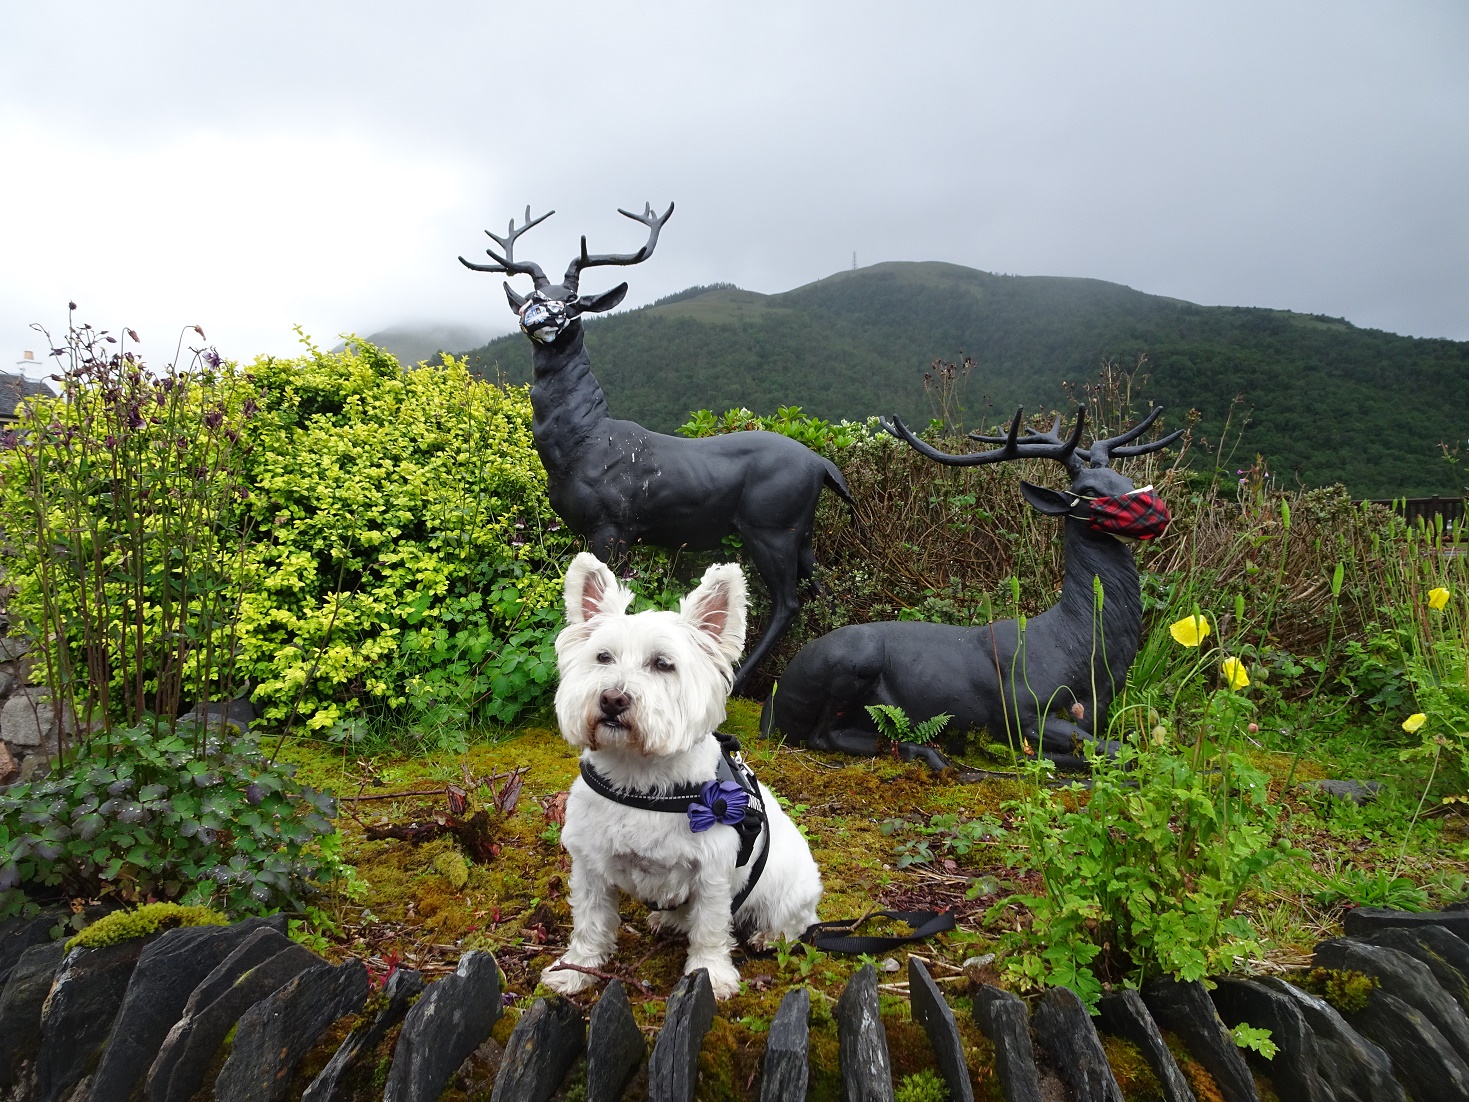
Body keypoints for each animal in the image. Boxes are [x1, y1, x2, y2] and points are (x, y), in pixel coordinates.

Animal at [540, 552, 822, 999]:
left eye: (662, 664)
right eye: (603, 657)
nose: (612, 699)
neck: (639, 777)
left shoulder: (714, 874)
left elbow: (709, 928)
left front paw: (711, 975)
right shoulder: (590, 865)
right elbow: (589, 920)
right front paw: (576, 970)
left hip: (788, 890)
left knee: (796, 922)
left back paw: (768, 936)